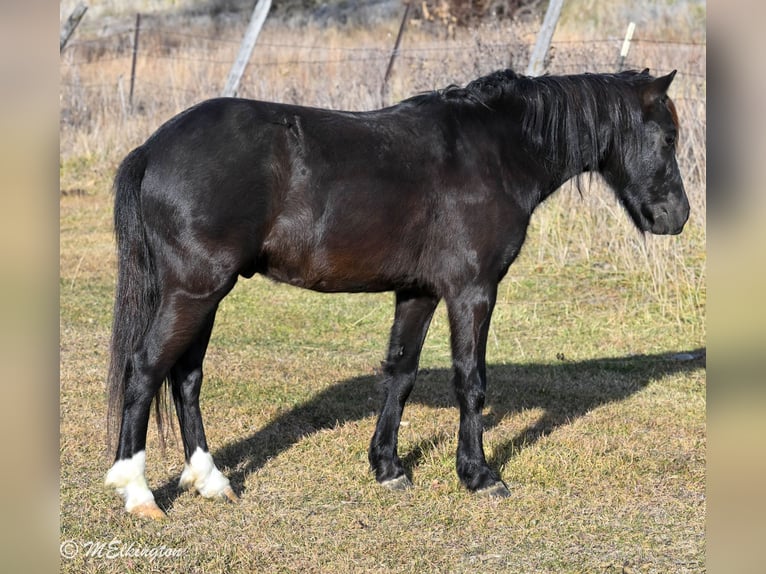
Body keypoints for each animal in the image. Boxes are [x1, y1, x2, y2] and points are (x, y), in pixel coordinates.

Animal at [104, 67, 689, 518]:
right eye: (667, 138)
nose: (676, 217)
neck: (497, 151)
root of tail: (154, 148)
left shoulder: (419, 292)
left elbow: (400, 374)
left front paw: (387, 466)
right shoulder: (472, 291)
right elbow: (470, 382)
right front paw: (479, 475)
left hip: (204, 295)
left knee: (186, 377)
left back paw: (211, 480)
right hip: (194, 290)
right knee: (146, 369)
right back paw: (138, 493)